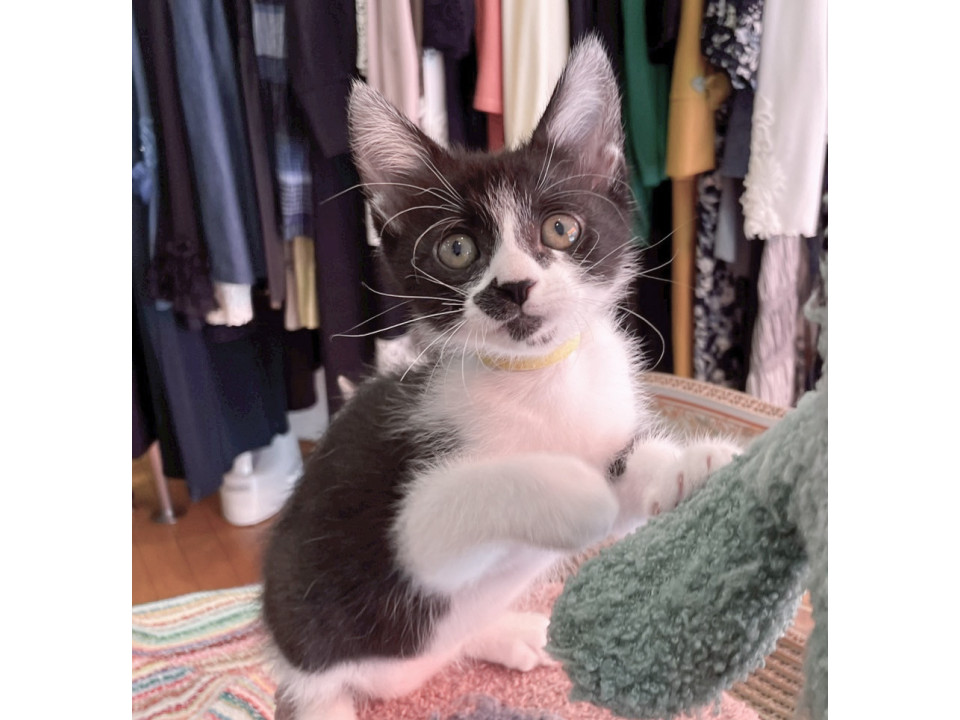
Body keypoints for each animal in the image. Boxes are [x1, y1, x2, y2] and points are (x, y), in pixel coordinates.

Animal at [261, 36, 739, 720]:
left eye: (560, 229)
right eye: (456, 249)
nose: (513, 287)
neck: (537, 380)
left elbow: (630, 469)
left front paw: (687, 465)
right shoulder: (410, 535)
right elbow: (470, 493)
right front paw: (575, 489)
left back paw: (506, 631)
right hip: (319, 643)